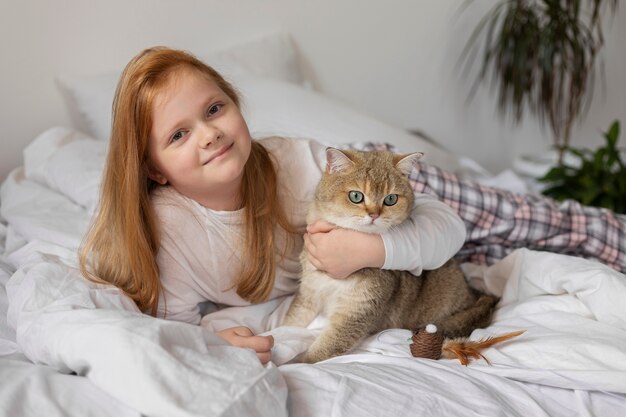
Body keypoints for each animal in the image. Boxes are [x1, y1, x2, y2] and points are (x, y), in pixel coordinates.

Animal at [282, 148, 498, 362]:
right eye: (356, 196)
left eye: (391, 199)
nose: (374, 215)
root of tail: (474, 294)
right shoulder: (308, 293)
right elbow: (291, 321)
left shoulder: (357, 310)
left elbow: (324, 348)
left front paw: (297, 363)